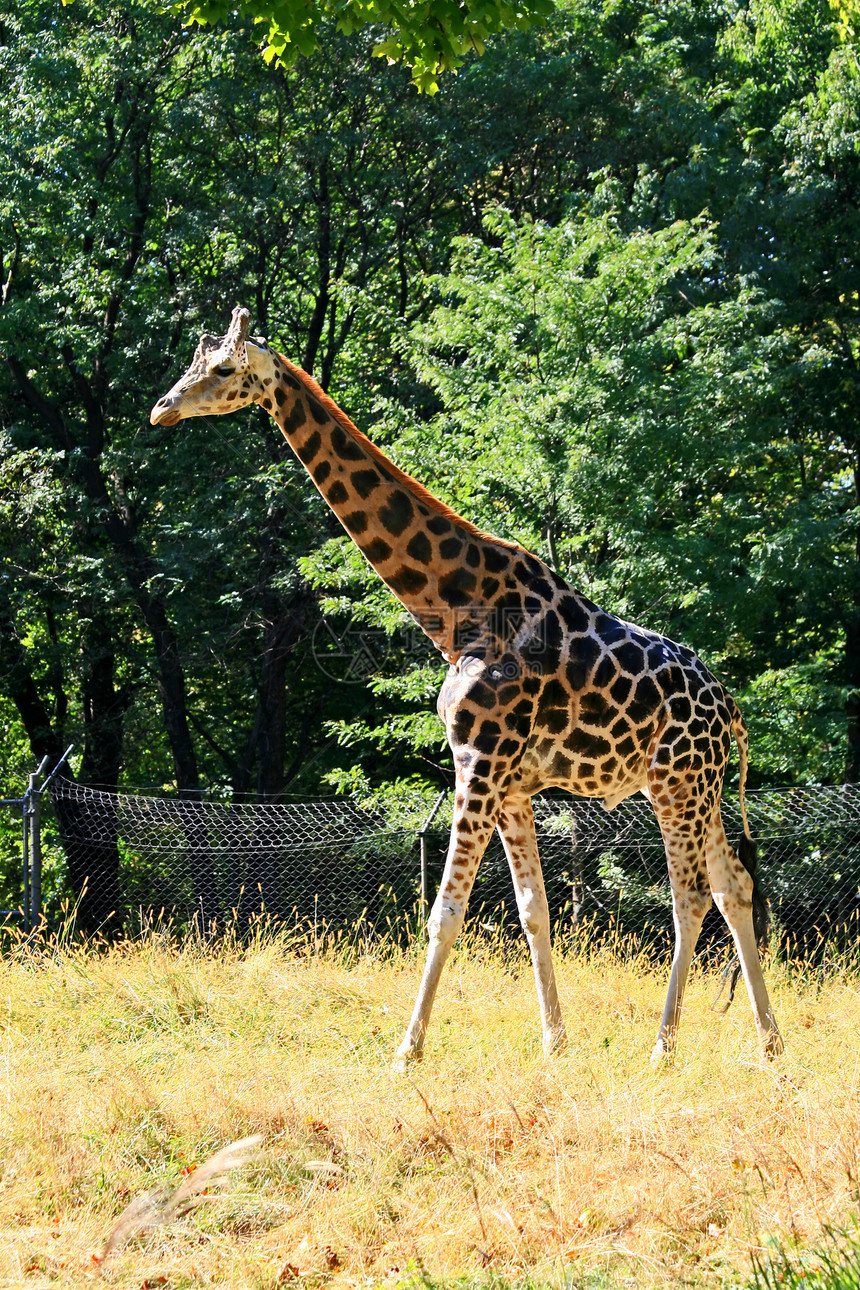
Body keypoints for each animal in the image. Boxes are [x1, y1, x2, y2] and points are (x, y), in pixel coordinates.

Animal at [151, 304, 783, 1068]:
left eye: (221, 369)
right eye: (190, 361)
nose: (161, 408)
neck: (456, 610)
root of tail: (733, 711)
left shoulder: (478, 761)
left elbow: (445, 911)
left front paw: (406, 1053)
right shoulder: (510, 781)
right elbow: (533, 911)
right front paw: (554, 1045)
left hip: (675, 781)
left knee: (689, 898)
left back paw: (662, 1050)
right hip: (701, 786)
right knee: (733, 887)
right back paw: (771, 1045)